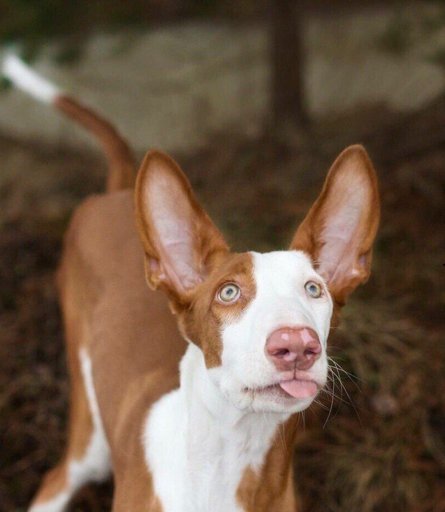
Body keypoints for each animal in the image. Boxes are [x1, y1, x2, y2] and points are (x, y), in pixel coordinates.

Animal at [2, 54, 378, 510]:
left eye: (313, 288)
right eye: (228, 292)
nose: (296, 345)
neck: (233, 461)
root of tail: (119, 191)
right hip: (88, 431)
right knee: (57, 478)